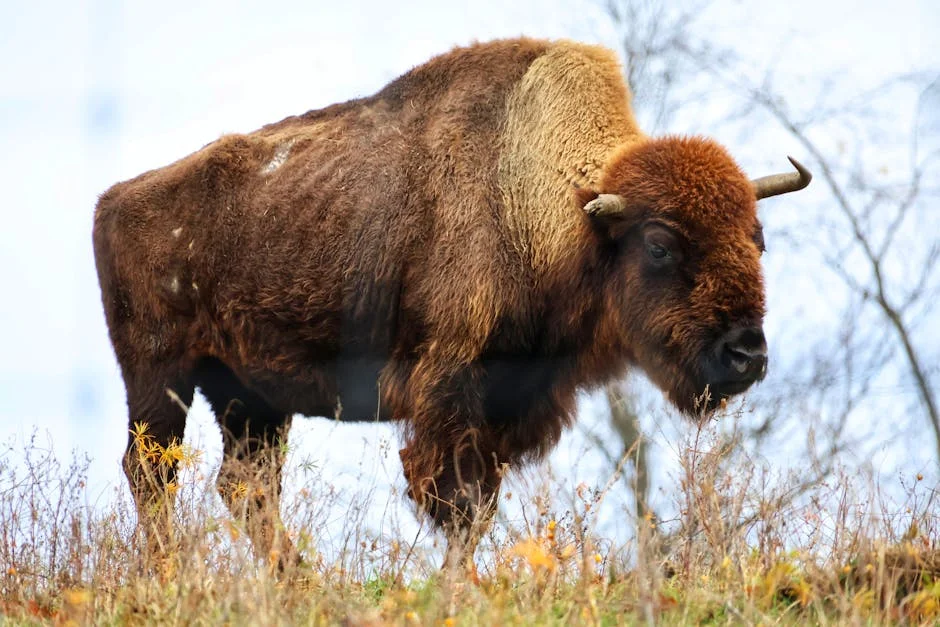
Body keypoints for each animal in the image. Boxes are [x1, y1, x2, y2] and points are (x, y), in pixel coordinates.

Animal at [93, 38, 810, 572]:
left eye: (757, 237)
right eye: (659, 244)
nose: (745, 353)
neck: (548, 209)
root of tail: (115, 199)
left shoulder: (510, 406)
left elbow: (478, 507)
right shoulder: (450, 391)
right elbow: (459, 504)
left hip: (251, 398)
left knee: (244, 485)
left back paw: (297, 580)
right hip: (158, 377)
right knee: (152, 473)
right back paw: (170, 574)